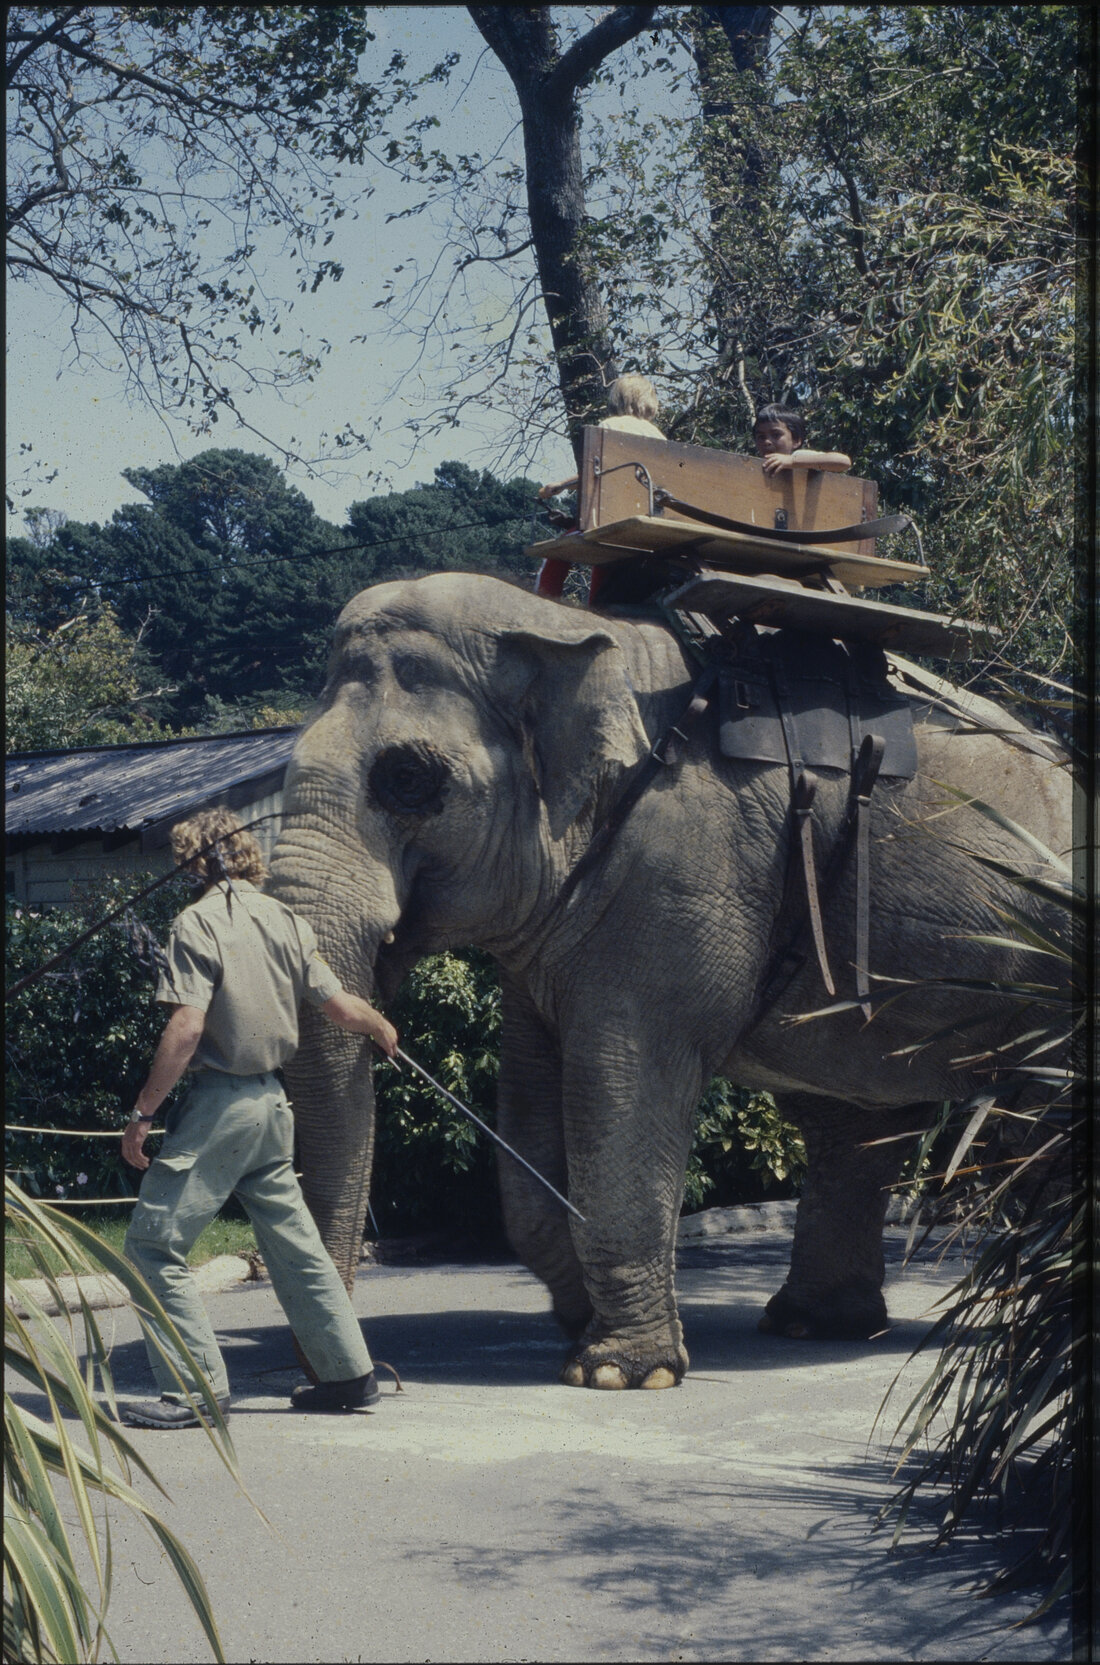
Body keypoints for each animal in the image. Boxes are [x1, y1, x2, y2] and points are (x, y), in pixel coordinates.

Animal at [267, 572, 1071, 1389]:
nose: (344, 1385)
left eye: (407, 778)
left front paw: (619, 1373)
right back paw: (812, 1324)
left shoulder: (681, 876)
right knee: (855, 1122)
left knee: (1035, 1118)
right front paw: (582, 1328)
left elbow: (624, 1080)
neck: (569, 627)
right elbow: (530, 1121)